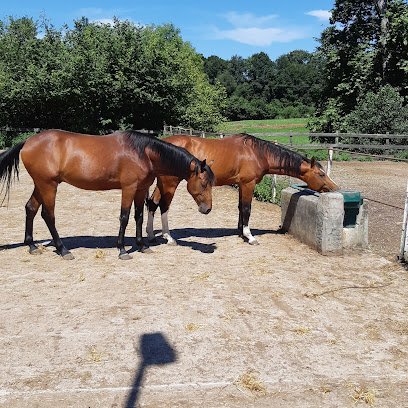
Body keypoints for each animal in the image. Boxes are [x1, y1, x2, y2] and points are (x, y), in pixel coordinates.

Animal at [0, 129, 215, 260]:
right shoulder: (129, 188)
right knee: (48, 215)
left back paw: (32, 246)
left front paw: (142, 246)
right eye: (204, 183)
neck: (143, 153)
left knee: (30, 208)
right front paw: (122, 250)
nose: (207, 209)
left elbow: (138, 216)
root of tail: (28, 141)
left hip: (41, 184)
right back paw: (62, 249)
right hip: (48, 185)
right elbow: (124, 217)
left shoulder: (141, 189)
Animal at [147, 132, 338, 244]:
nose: (334, 187)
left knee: (152, 203)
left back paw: (150, 235)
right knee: (163, 206)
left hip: (163, 183)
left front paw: (240, 233)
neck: (257, 153)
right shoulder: (248, 184)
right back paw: (168, 237)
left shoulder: (241, 184)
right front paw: (249, 236)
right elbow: (247, 208)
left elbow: (240, 208)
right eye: (321, 174)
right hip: (170, 183)